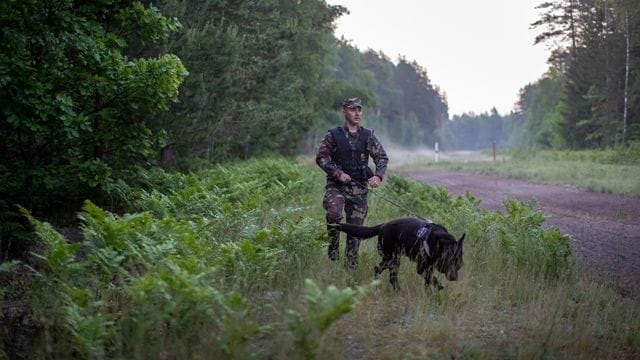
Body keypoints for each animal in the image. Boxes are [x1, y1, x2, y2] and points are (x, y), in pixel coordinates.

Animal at [336, 217, 464, 290]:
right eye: (447, 261)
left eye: (458, 262)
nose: (454, 278)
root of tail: (383, 225)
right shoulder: (421, 269)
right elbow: (433, 280)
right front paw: (439, 286)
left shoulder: (429, 268)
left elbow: (428, 283)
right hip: (392, 259)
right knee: (380, 270)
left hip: (393, 260)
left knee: (389, 275)